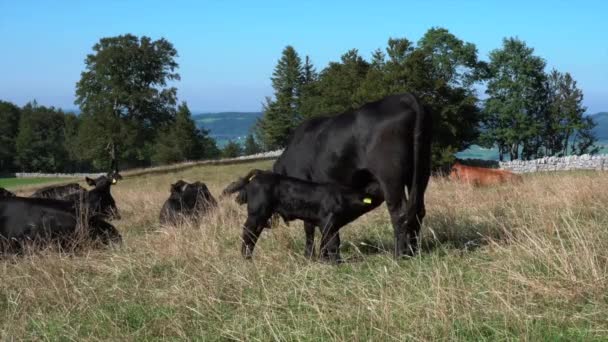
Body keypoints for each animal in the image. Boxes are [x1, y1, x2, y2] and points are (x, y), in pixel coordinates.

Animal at [221, 168, 382, 262]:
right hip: (256, 213)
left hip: (262, 217)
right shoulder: (328, 222)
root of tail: (259, 174)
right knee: (248, 232)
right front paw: (337, 262)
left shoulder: (331, 225)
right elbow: (333, 243)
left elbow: (326, 242)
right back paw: (246, 257)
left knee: (254, 234)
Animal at [270, 92, 432, 258]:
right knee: (417, 211)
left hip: (390, 176)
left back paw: (399, 254)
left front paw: (309, 255)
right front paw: (323, 254)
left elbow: (309, 227)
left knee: (400, 213)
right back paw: (413, 251)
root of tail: (404, 98)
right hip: (422, 169)